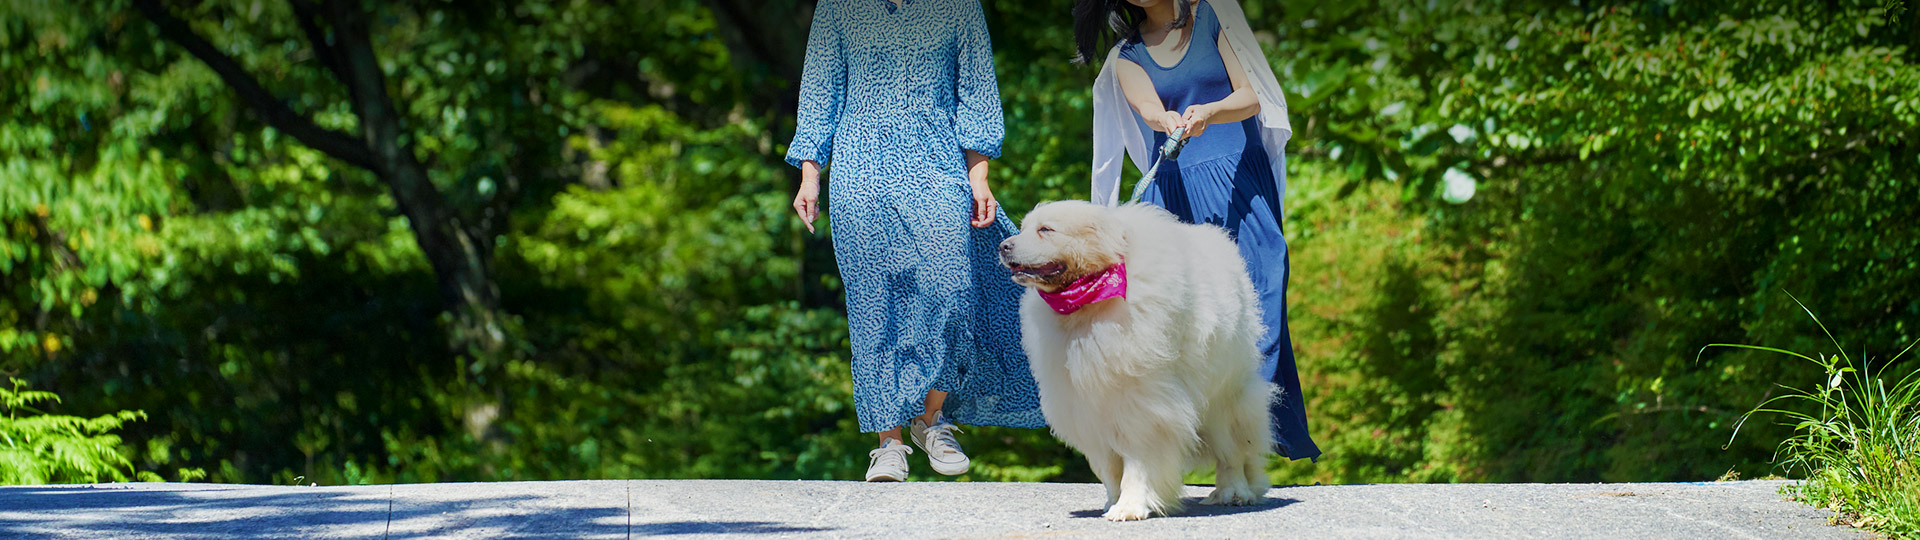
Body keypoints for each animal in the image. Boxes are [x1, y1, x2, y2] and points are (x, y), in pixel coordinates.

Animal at [998, 199, 1267, 518]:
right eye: (1024, 228)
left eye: (1046, 230)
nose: (1003, 246)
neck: (1088, 301)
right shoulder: (1088, 409)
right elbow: (1110, 469)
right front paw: (1113, 501)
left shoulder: (1141, 407)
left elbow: (1137, 463)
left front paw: (1129, 506)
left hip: (1224, 397)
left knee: (1233, 450)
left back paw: (1233, 492)